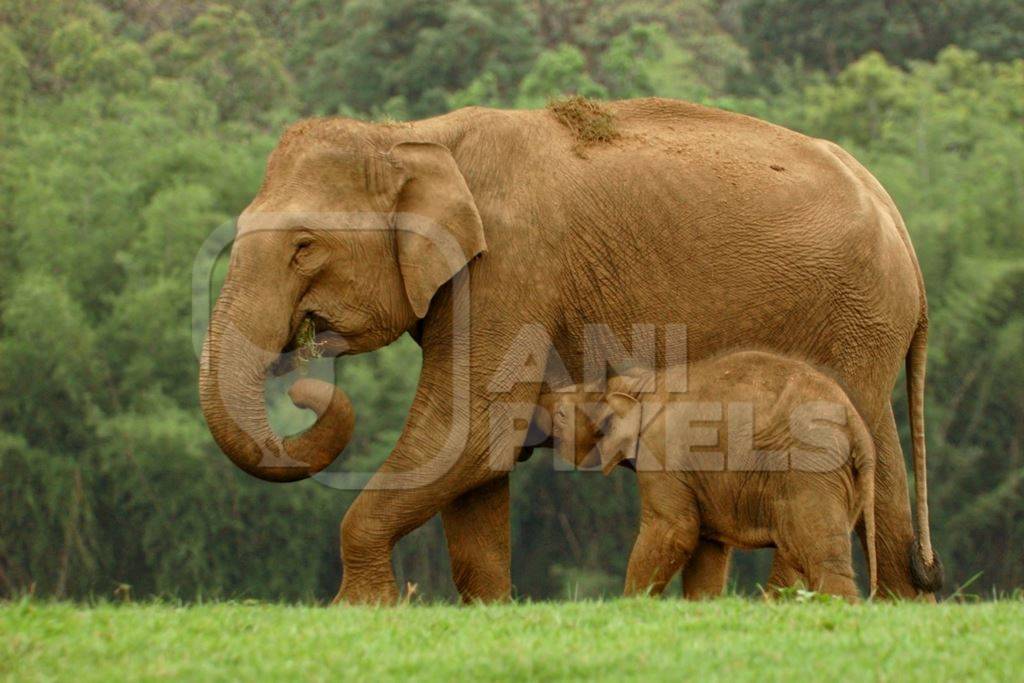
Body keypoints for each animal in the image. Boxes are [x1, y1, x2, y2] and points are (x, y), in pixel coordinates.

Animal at [548, 352, 876, 598]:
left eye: (561, 415)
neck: (641, 382)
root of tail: (857, 427)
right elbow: (706, 551)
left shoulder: (661, 453)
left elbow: (674, 531)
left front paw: (631, 607)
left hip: (809, 468)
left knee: (817, 555)